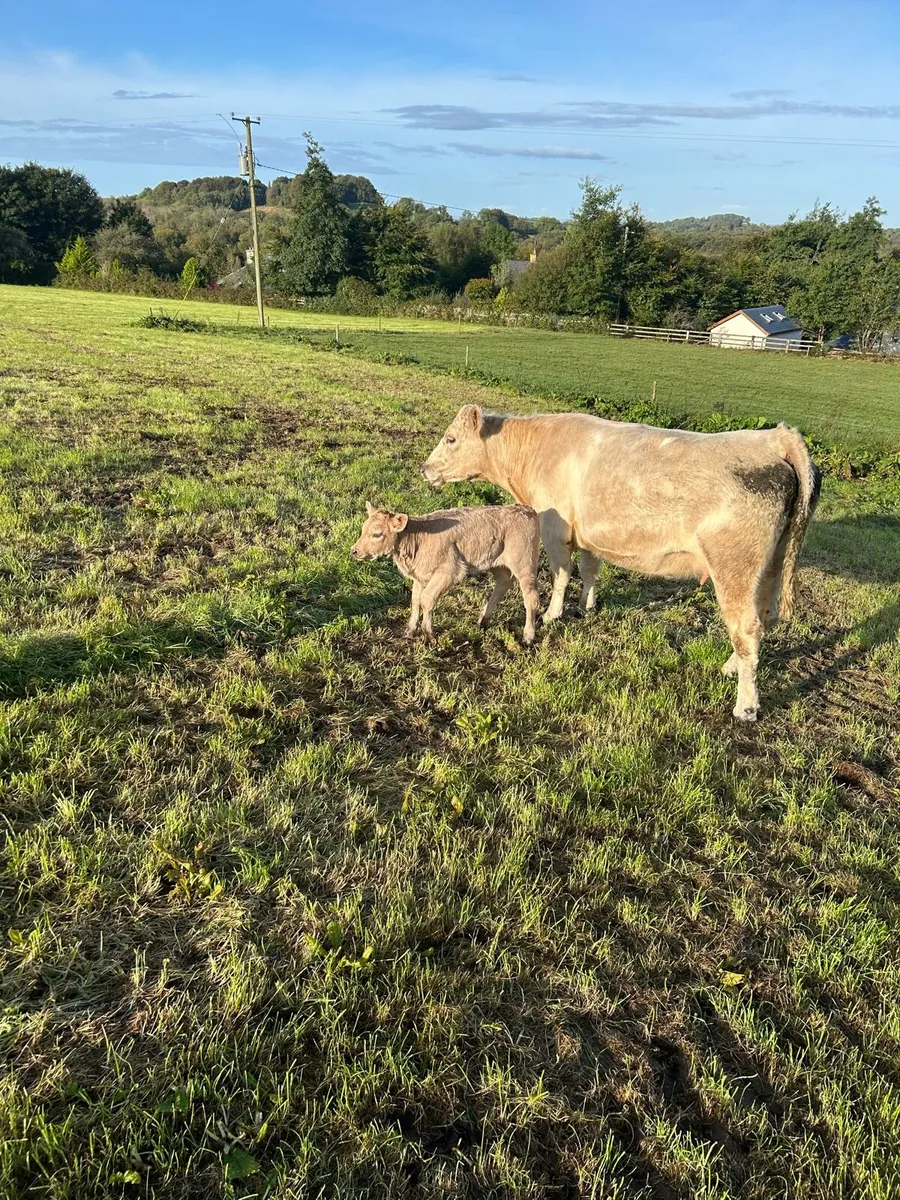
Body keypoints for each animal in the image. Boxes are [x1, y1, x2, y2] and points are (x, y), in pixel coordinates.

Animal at [351, 501, 541, 645]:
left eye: (377, 534)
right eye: (363, 529)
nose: (354, 551)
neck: (417, 538)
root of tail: (527, 510)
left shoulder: (450, 571)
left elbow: (427, 599)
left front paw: (429, 634)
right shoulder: (420, 575)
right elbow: (415, 600)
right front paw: (410, 630)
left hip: (524, 564)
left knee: (531, 597)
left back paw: (528, 637)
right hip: (497, 563)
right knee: (503, 583)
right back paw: (483, 620)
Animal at [422, 405, 821, 721]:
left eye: (451, 439)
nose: (425, 469)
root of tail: (776, 437)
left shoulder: (553, 525)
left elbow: (560, 573)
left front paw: (552, 614)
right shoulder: (587, 532)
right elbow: (589, 570)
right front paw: (587, 606)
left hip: (735, 567)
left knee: (747, 629)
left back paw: (746, 707)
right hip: (770, 565)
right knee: (762, 619)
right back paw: (729, 667)